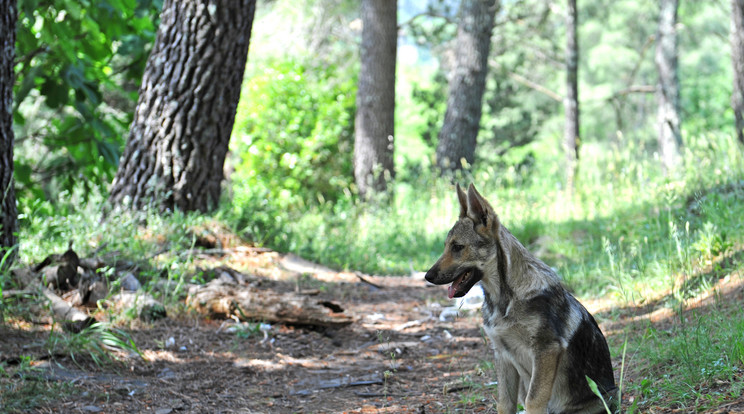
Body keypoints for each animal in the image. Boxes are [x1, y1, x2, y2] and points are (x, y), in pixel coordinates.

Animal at [424, 184, 616, 414]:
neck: (504, 299)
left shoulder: (546, 350)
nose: (427, 276)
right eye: (446, 246)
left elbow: (534, 400)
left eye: (458, 247)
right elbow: (505, 403)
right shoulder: (502, 354)